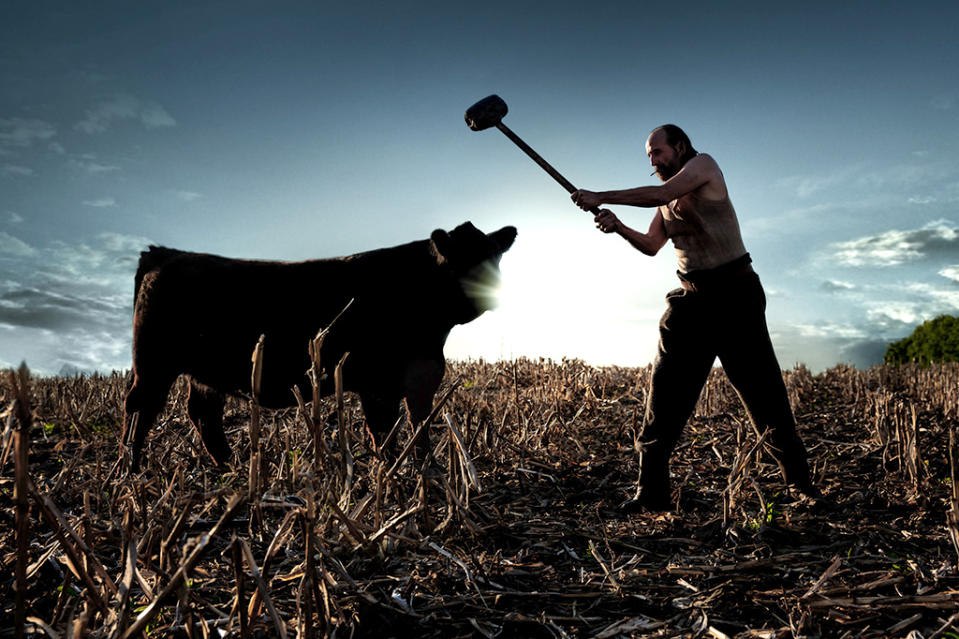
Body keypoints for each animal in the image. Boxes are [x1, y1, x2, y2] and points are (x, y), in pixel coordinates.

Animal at [124, 222, 520, 472]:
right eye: (464, 261)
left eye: (495, 256)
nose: (492, 291)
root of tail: (166, 254)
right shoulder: (389, 380)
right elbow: (394, 427)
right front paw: (411, 470)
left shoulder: (410, 377)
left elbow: (403, 426)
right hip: (153, 365)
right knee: (141, 409)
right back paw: (133, 469)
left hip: (203, 374)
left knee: (203, 415)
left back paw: (228, 466)